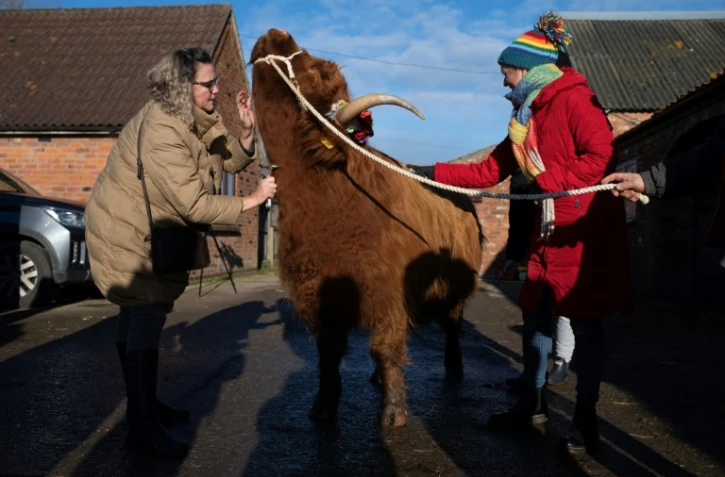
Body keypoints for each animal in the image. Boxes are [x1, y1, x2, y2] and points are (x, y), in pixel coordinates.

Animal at [250, 29, 484, 427]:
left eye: (315, 69)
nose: (274, 34)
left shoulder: (388, 291)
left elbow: (386, 347)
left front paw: (394, 412)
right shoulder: (318, 297)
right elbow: (329, 356)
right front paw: (323, 408)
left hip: (454, 288)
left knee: (453, 325)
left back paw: (454, 369)